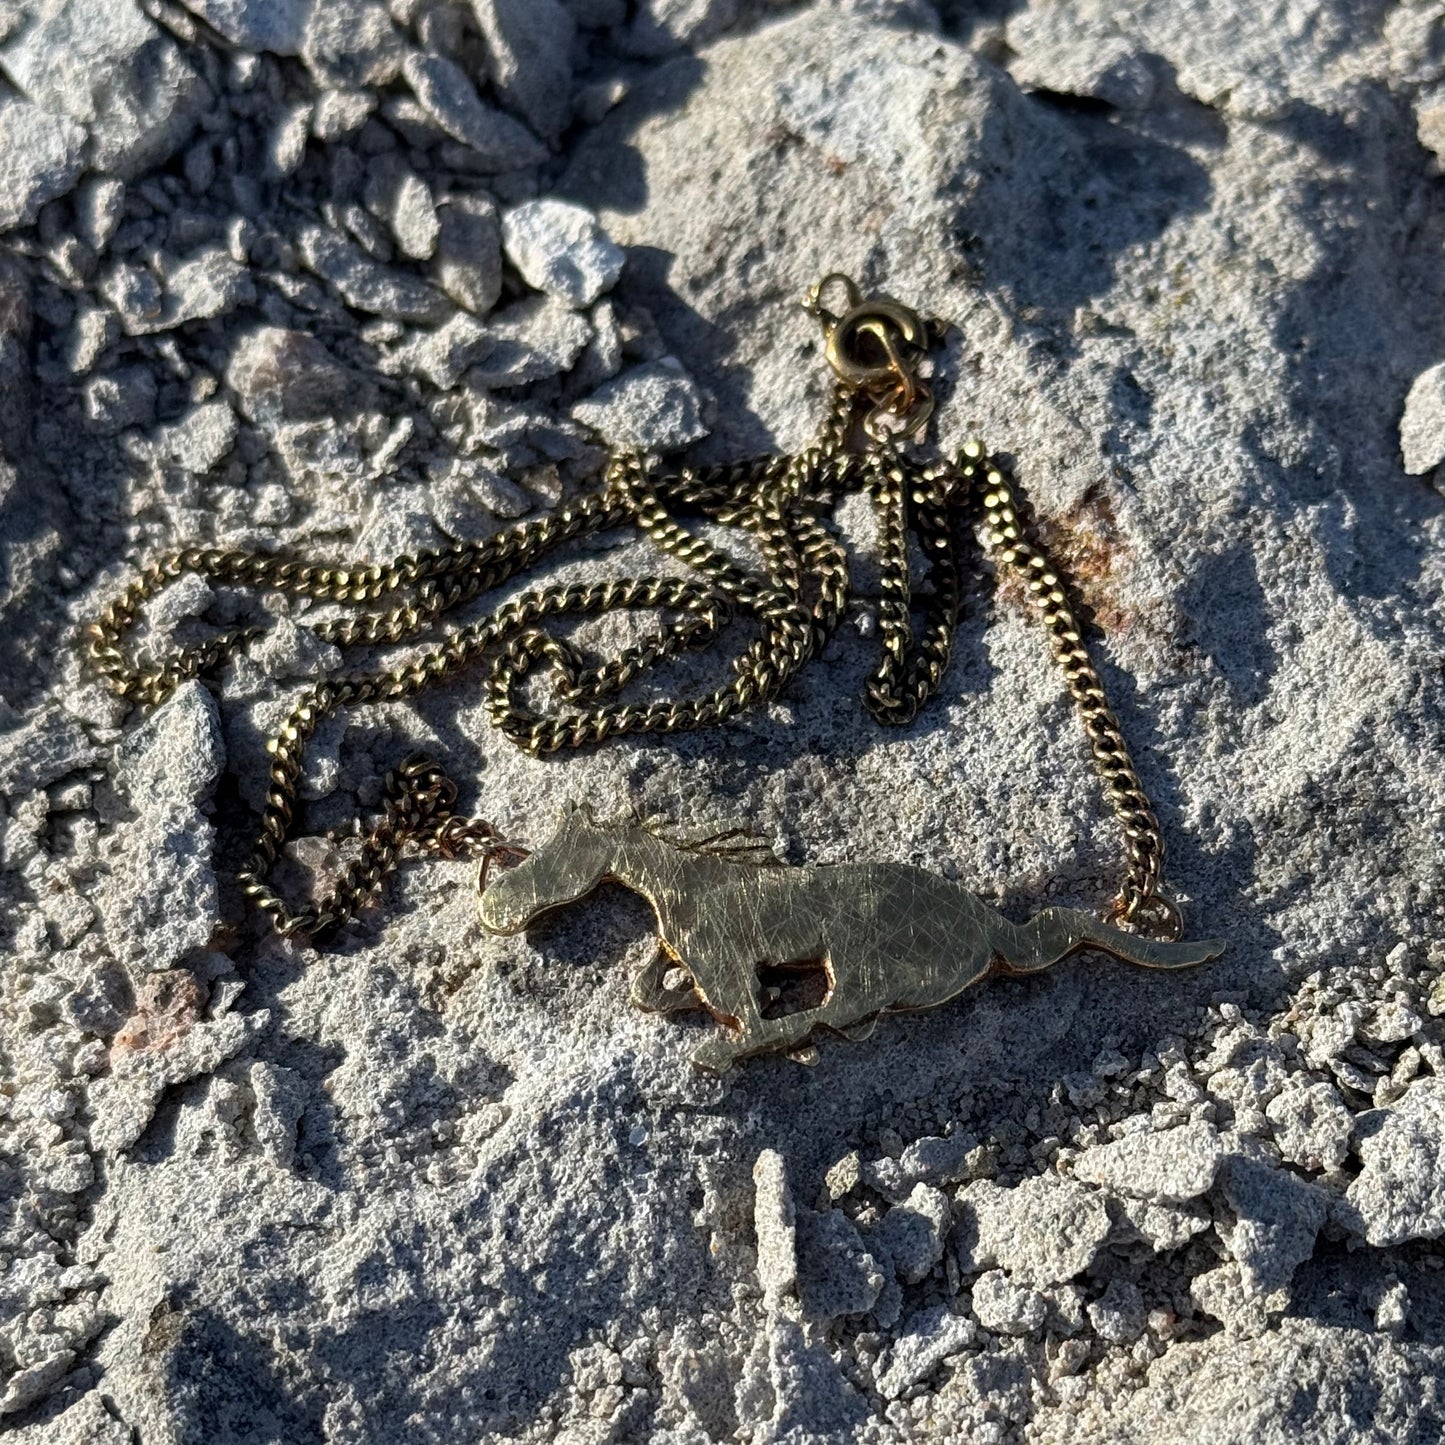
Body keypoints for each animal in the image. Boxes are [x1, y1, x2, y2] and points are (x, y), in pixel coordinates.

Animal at [478, 803, 1226, 1072]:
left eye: (553, 855)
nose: (495, 907)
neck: (685, 883)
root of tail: (983, 921)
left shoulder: (726, 966)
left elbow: (744, 1017)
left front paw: (727, 1042)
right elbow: (655, 986)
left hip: (858, 949)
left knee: (843, 1006)